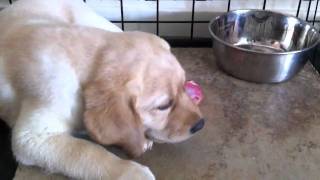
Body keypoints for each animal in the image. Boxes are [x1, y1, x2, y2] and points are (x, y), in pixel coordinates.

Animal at [0, 0, 205, 180]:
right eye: (163, 106)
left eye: (183, 86)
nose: (200, 124)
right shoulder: (32, 137)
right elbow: (86, 151)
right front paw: (133, 172)